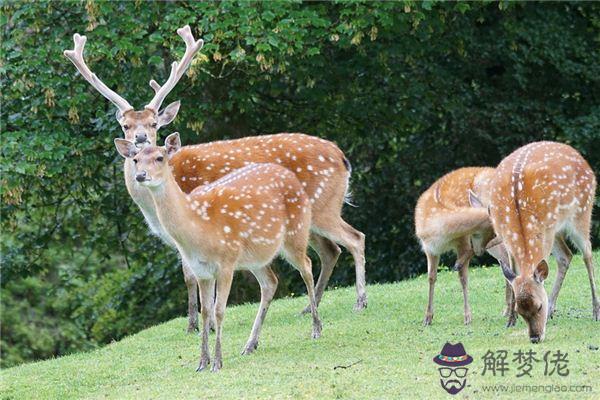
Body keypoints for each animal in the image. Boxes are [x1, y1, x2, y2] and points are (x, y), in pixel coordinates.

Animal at [64, 25, 366, 332]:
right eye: (126, 125)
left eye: (153, 123)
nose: (140, 139)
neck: (153, 208)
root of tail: (342, 157)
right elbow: (190, 275)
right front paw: (195, 324)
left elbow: (192, 276)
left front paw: (198, 325)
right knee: (330, 250)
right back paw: (308, 308)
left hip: (323, 206)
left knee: (355, 238)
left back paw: (359, 301)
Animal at [116, 134, 324, 372]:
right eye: (136, 160)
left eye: (160, 157)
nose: (141, 175)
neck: (197, 227)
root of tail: (293, 178)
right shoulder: (202, 271)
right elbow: (205, 311)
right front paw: (201, 362)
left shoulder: (226, 262)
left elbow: (219, 310)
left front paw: (217, 362)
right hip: (256, 257)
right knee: (270, 283)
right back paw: (250, 344)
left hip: (295, 234)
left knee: (307, 266)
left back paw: (316, 328)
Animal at [414, 167, 508, 326]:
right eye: (488, 232)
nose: (480, 250)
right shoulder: (429, 248)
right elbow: (431, 277)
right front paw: (427, 318)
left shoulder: (463, 241)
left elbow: (463, 278)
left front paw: (467, 316)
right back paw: (508, 311)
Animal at [486, 141, 596, 344]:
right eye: (520, 310)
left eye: (538, 306)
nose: (535, 337)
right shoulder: (506, 237)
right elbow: (512, 274)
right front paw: (510, 321)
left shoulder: (547, 228)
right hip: (558, 229)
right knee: (566, 256)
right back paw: (553, 309)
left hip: (583, 210)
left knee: (587, 253)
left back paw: (595, 311)